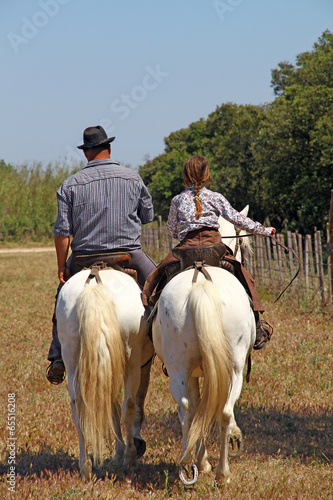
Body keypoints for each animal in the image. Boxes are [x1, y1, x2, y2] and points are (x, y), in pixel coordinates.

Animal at [55, 268, 153, 478]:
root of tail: (94, 285)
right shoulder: (143, 365)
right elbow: (133, 406)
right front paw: (128, 449)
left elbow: (112, 408)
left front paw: (117, 451)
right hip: (131, 359)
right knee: (129, 406)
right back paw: (130, 457)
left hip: (71, 355)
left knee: (78, 407)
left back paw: (85, 465)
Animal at [152, 206, 254, 484]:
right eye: (243, 243)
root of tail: (202, 286)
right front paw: (230, 441)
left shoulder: (197, 371)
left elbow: (199, 407)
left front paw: (202, 460)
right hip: (234, 367)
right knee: (224, 410)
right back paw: (221, 472)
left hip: (180, 369)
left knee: (188, 408)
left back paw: (188, 464)